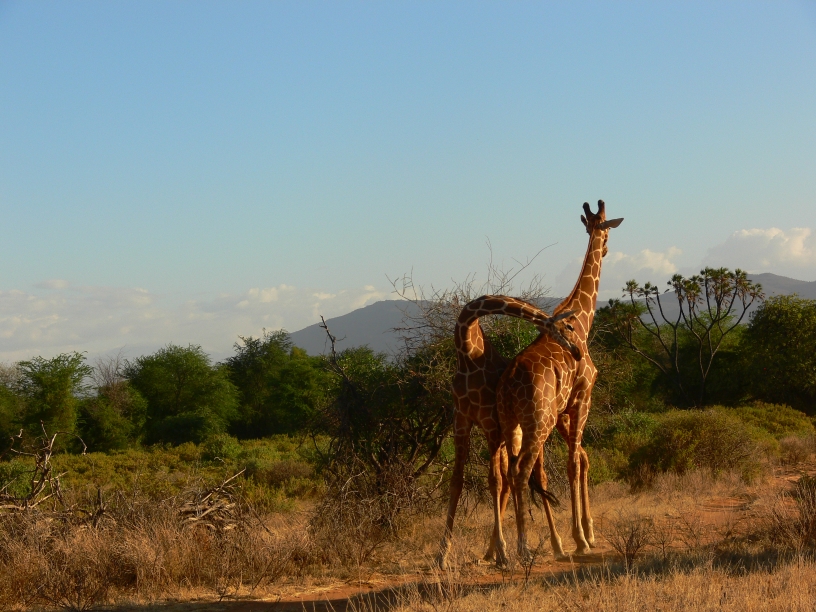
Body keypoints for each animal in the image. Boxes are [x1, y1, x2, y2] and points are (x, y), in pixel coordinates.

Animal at [437, 295, 580, 569]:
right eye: (568, 326)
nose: (577, 352)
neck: (467, 353)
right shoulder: (461, 420)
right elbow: (457, 481)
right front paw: (441, 555)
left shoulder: (491, 424)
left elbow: (494, 481)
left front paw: (504, 552)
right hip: (512, 439)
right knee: (513, 479)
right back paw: (492, 552)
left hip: (524, 436)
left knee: (532, 478)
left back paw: (554, 547)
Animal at [495, 200, 623, 561]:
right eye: (607, 231)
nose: (605, 247)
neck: (580, 321)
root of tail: (508, 383)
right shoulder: (582, 398)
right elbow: (573, 463)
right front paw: (581, 539)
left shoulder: (563, 410)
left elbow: (579, 459)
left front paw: (584, 533)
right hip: (538, 422)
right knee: (521, 472)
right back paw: (523, 548)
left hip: (512, 422)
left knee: (509, 471)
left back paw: (506, 550)